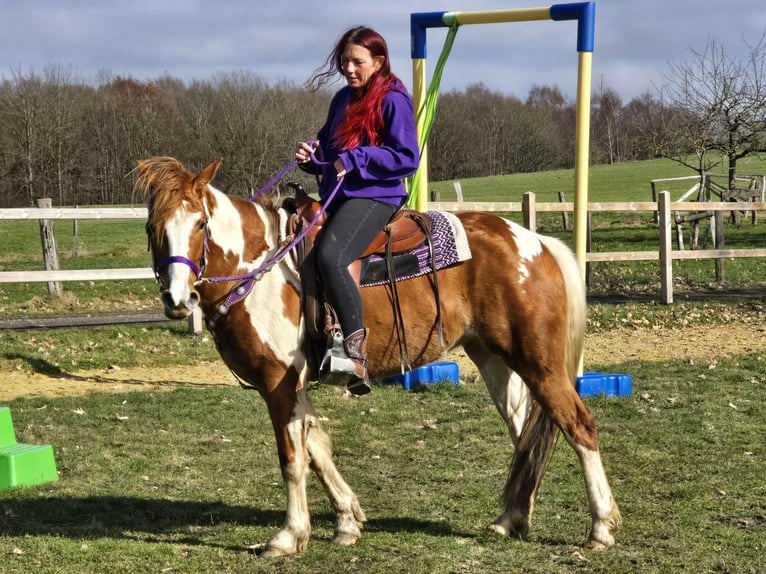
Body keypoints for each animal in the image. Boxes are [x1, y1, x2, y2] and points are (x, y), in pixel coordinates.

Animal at [134, 156, 621, 557]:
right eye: (152, 228)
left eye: (201, 223)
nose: (176, 299)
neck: (261, 268)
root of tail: (536, 242)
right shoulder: (294, 384)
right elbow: (317, 448)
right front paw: (347, 521)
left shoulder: (278, 382)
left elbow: (293, 459)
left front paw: (289, 536)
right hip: (495, 360)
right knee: (527, 437)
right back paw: (511, 518)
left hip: (538, 362)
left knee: (578, 425)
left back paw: (600, 528)